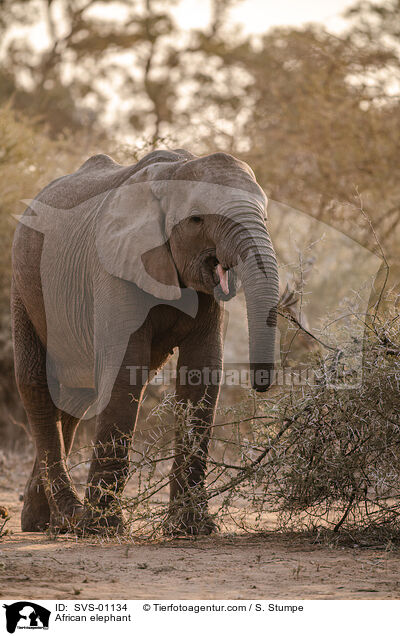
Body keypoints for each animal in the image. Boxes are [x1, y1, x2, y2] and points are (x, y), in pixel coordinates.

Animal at [11, 150, 278, 536]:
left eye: (265, 217)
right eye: (196, 219)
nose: (261, 385)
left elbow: (201, 372)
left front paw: (192, 529)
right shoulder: (114, 266)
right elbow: (125, 371)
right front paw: (102, 529)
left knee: (76, 397)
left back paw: (44, 522)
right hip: (25, 285)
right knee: (36, 385)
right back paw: (69, 518)